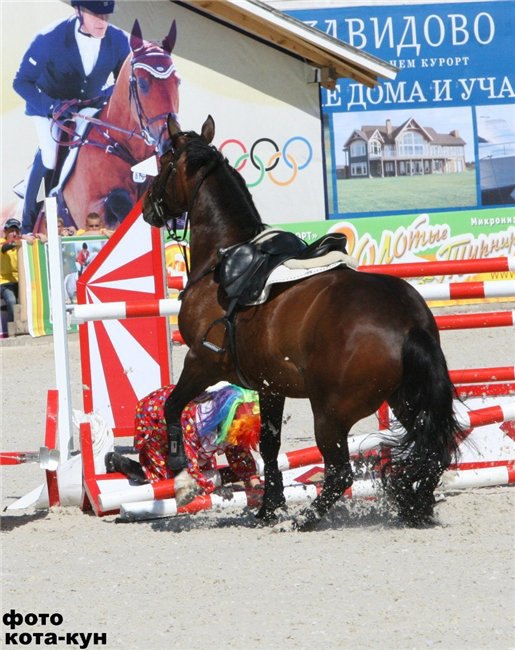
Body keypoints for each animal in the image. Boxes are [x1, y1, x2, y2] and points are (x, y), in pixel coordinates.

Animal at [141, 115, 464, 532]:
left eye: (164, 162)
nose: (146, 206)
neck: (221, 260)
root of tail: (410, 325)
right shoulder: (269, 385)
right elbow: (269, 445)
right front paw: (267, 508)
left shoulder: (202, 363)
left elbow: (171, 407)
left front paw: (182, 481)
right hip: (406, 401)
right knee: (431, 452)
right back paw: (413, 507)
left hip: (330, 413)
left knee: (341, 471)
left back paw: (307, 518)